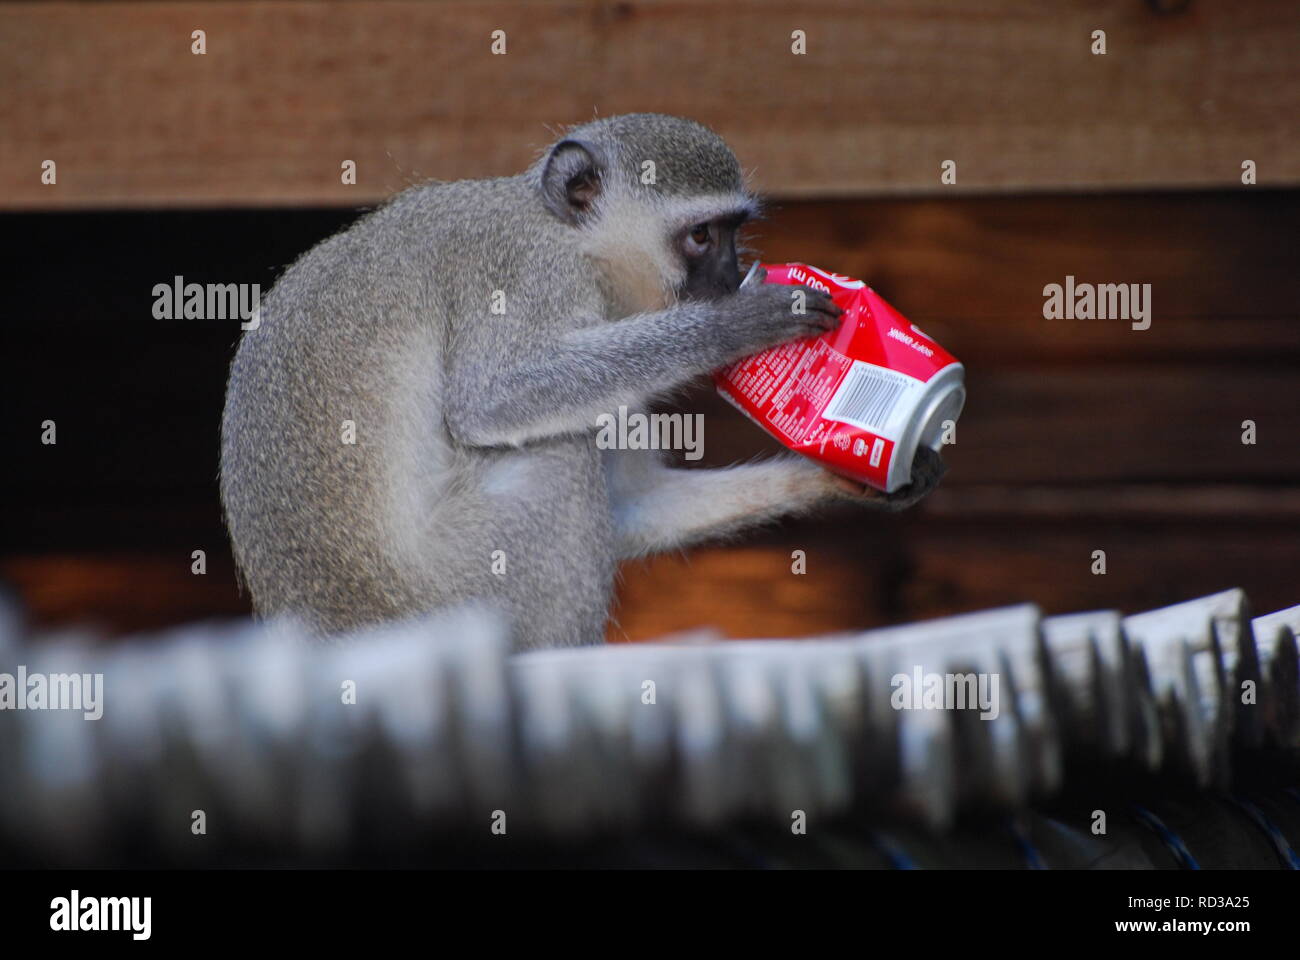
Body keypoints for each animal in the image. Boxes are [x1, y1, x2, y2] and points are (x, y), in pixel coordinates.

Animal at [218, 113, 941, 650]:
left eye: (734, 232)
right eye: (701, 237)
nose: (732, 277)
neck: (569, 237)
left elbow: (633, 505)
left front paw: (846, 472)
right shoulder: (527, 271)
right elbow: (489, 400)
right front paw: (732, 325)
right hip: (461, 598)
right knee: (556, 453)